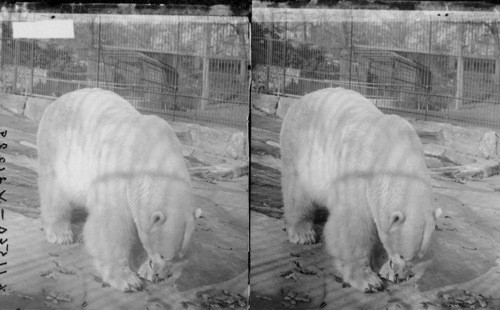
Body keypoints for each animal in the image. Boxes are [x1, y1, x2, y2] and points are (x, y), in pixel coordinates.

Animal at [37, 88, 201, 292]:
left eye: (178, 257)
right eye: (164, 255)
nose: (161, 275)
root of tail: (55, 101)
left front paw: (145, 270)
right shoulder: (118, 175)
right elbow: (110, 225)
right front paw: (128, 280)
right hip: (57, 147)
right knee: (54, 190)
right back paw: (60, 233)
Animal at [282, 88, 442, 294]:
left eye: (416, 257)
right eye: (402, 255)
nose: (400, 276)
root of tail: (300, 99)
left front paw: (385, 269)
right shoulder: (359, 178)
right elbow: (352, 227)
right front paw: (368, 280)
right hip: (299, 146)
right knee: (297, 191)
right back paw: (302, 233)